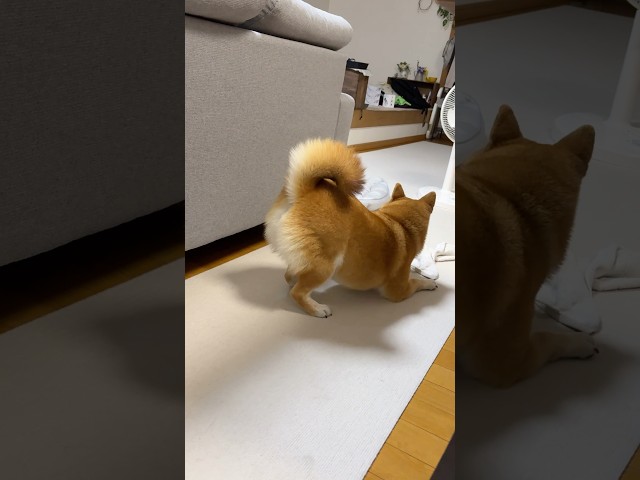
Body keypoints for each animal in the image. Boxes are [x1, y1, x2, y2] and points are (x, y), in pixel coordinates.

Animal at [265, 138, 437, 317]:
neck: (400, 223)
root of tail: (303, 193)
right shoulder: (398, 290)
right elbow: (416, 282)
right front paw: (428, 283)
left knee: (289, 277)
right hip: (325, 265)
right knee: (297, 293)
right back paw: (318, 309)